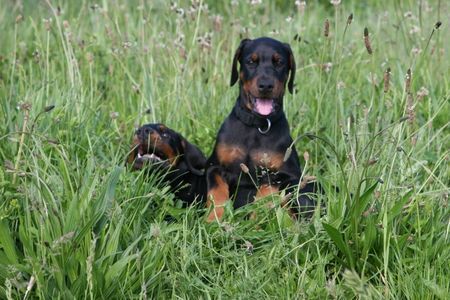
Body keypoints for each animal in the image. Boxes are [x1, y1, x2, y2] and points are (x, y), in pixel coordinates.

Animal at [207, 37, 316, 220]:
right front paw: (214, 218)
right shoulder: (214, 166)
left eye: (279, 62)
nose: (266, 85)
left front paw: (257, 218)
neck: (257, 126)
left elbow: (266, 190)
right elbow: (217, 191)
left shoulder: (288, 174)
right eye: (251, 61)